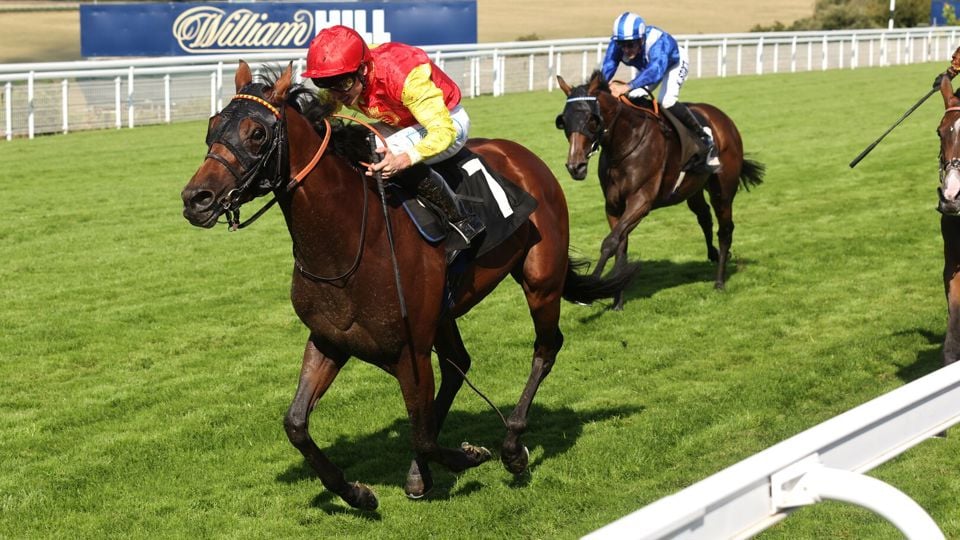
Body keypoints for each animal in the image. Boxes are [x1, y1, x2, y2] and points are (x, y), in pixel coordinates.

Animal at [183, 63, 640, 510]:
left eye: (257, 134)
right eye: (211, 125)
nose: (195, 199)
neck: (350, 243)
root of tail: (522, 155)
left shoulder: (410, 350)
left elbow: (422, 435)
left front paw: (469, 455)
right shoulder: (330, 339)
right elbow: (296, 424)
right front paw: (357, 493)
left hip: (540, 281)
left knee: (545, 349)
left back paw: (511, 445)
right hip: (443, 314)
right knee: (459, 365)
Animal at [556, 69, 764, 310]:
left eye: (591, 119)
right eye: (564, 121)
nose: (575, 166)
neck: (625, 143)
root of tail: (723, 118)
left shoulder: (641, 202)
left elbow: (610, 243)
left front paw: (591, 286)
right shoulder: (614, 206)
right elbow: (620, 245)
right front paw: (617, 300)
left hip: (723, 191)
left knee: (725, 229)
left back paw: (720, 281)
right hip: (693, 189)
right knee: (704, 217)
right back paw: (713, 254)